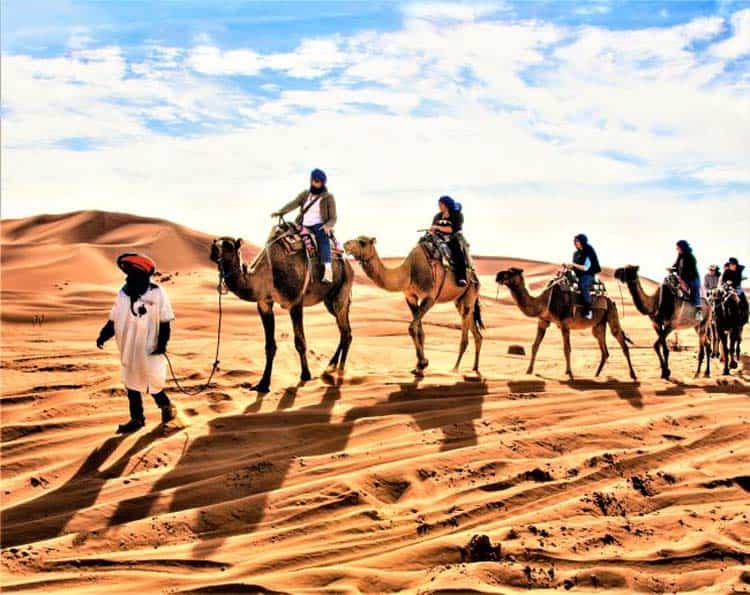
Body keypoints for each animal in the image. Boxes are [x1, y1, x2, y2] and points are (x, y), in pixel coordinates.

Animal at [209, 235, 356, 394]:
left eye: (229, 245)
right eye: (216, 241)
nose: (213, 249)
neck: (268, 275)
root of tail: (349, 265)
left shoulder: (295, 302)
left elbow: (300, 342)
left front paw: (305, 375)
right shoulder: (264, 304)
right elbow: (269, 346)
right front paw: (263, 384)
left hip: (341, 294)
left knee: (346, 332)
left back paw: (340, 370)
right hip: (330, 300)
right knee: (344, 331)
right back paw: (332, 365)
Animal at [344, 234, 484, 378]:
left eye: (362, 242)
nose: (346, 244)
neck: (409, 272)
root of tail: (474, 274)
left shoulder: (430, 297)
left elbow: (411, 328)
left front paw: (423, 363)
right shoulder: (411, 297)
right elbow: (419, 331)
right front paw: (419, 368)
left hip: (470, 292)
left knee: (465, 336)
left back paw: (455, 369)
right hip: (460, 300)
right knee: (477, 333)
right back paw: (475, 368)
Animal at [496, 268, 636, 380]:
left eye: (510, 272)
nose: (497, 276)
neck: (544, 302)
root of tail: (610, 299)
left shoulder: (564, 324)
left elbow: (566, 349)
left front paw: (569, 372)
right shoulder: (543, 321)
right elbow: (535, 346)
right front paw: (529, 371)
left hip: (612, 313)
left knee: (621, 340)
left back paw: (633, 375)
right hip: (599, 324)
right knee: (604, 349)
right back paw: (596, 375)